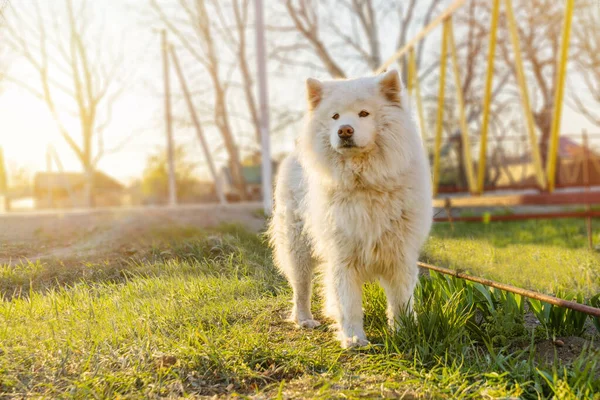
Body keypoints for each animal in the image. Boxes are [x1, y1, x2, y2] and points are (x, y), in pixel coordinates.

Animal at [268, 70, 432, 348]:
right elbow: (349, 301)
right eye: (335, 116)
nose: (344, 130)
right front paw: (354, 337)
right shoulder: (342, 255)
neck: (363, 181)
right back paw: (304, 319)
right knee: (301, 288)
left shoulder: (400, 254)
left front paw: (405, 332)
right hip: (298, 248)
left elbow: (401, 299)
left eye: (364, 113)